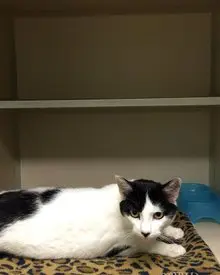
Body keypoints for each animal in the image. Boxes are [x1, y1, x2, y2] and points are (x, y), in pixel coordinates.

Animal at [0, 176, 186, 260]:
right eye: (135, 213)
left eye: (158, 215)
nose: (145, 232)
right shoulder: (121, 246)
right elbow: (147, 245)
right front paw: (172, 248)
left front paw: (173, 231)